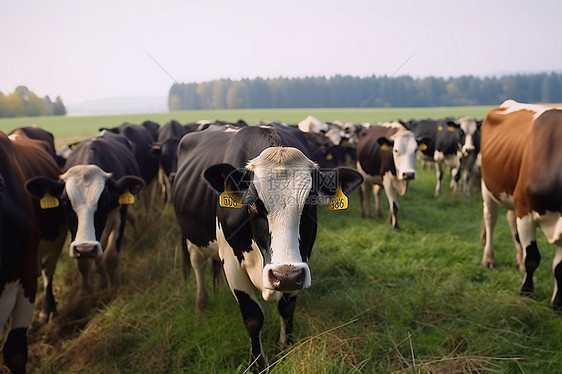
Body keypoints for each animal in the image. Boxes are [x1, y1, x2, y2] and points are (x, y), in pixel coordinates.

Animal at [26, 133, 144, 296]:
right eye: (64, 201)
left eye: (106, 200)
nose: (86, 249)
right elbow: (83, 263)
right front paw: (86, 293)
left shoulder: (120, 212)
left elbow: (111, 255)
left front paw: (114, 287)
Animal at [173, 125, 360, 368]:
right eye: (253, 205)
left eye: (310, 204)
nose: (285, 276)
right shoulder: (231, 261)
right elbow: (253, 316)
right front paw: (258, 363)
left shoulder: (300, 263)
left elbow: (287, 308)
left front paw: (286, 347)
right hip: (191, 237)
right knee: (197, 265)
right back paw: (201, 304)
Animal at [476, 99, 560, 310]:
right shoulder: (526, 211)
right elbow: (533, 258)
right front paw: (526, 293)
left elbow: (559, 266)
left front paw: (557, 303)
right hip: (488, 188)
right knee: (491, 219)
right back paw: (489, 259)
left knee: (511, 221)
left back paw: (518, 261)